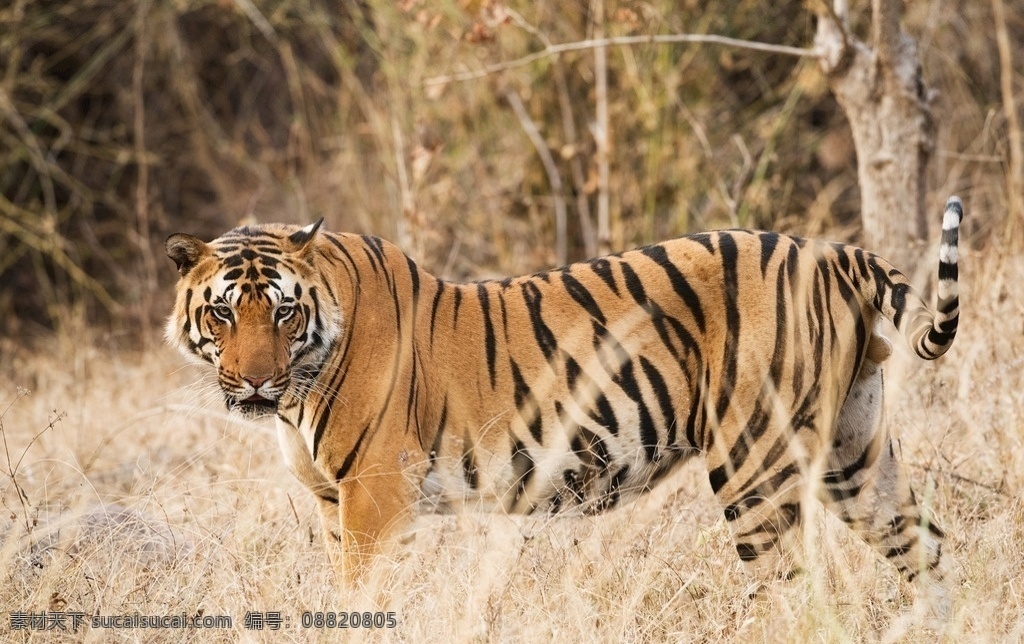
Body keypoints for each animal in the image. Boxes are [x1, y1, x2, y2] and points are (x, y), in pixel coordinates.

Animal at [165, 196, 962, 611]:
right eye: (224, 314)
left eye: (283, 312)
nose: (256, 383)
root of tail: (832, 252)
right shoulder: (334, 501)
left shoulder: (375, 495)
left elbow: (363, 596)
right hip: (855, 454)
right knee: (926, 548)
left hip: (754, 464)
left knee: (795, 592)